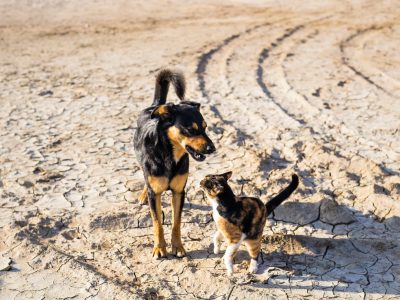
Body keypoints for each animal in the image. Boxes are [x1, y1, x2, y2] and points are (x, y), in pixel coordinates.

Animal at [134, 68, 216, 258]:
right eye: (190, 129)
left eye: (205, 127)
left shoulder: (179, 192)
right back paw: (143, 194)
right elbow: (157, 223)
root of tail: (155, 106)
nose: (212, 148)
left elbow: (176, 222)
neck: (170, 156)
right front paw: (159, 248)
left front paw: (177, 246)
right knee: (145, 177)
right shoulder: (155, 194)